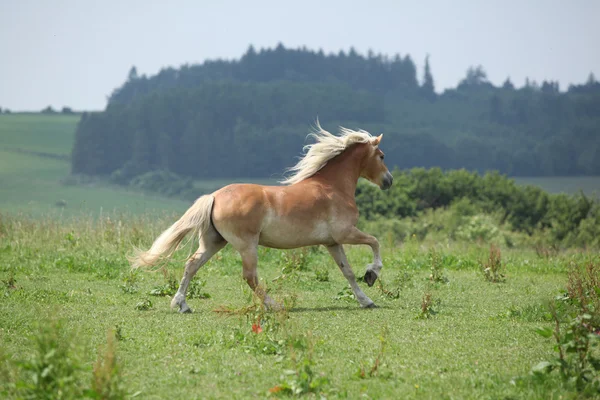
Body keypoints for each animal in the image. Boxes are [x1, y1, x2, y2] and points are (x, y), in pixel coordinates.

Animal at [130, 122, 394, 312]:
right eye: (381, 155)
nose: (389, 181)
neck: (333, 187)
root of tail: (214, 196)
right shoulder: (345, 233)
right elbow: (375, 242)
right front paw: (372, 274)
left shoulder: (332, 242)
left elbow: (347, 271)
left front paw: (366, 300)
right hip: (247, 245)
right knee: (250, 277)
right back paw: (274, 305)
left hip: (214, 242)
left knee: (192, 264)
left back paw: (182, 305)